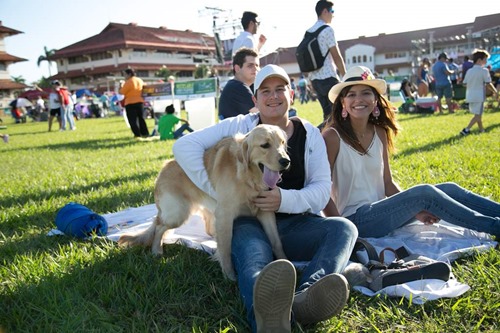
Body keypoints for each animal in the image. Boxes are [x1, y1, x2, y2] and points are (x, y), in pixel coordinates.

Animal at [118, 123, 292, 278]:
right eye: (265, 145)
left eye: (283, 143)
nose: (286, 161)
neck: (248, 178)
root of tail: (164, 166)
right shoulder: (225, 215)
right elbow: (226, 247)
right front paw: (229, 275)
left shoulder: (266, 211)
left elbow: (277, 242)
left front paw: (286, 261)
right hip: (178, 213)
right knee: (160, 227)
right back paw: (156, 250)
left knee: (206, 227)